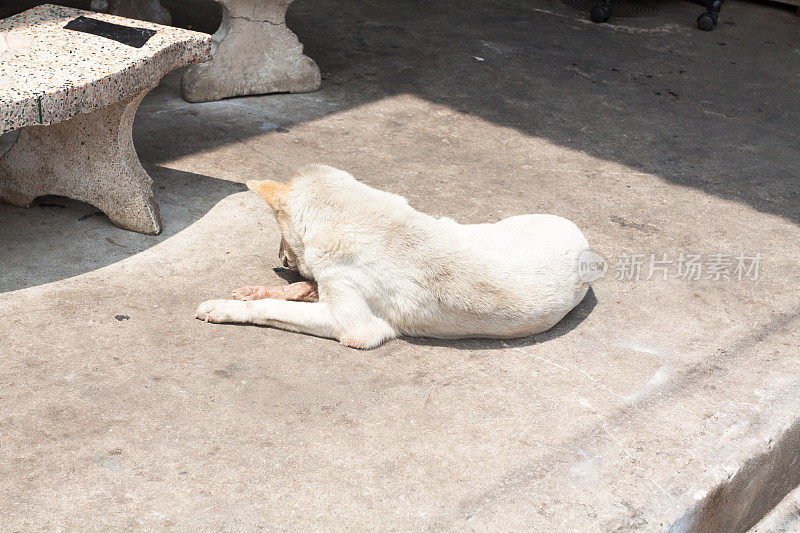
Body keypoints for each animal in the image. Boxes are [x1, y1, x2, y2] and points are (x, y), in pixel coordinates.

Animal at [197, 166, 592, 350]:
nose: (279, 258)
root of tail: (583, 237)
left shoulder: (354, 326)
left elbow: (273, 309)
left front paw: (226, 308)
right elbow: (293, 293)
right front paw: (254, 293)